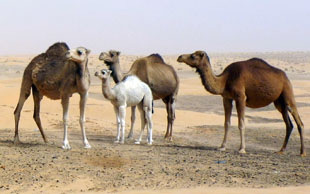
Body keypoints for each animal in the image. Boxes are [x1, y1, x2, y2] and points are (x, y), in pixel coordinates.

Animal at [177, 50, 306, 157]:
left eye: (193, 55)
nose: (179, 57)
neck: (225, 80)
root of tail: (285, 76)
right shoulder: (226, 98)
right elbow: (226, 123)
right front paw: (222, 146)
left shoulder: (241, 97)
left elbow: (241, 123)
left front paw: (242, 149)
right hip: (279, 102)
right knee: (288, 124)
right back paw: (281, 150)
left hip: (287, 91)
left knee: (298, 121)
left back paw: (302, 152)